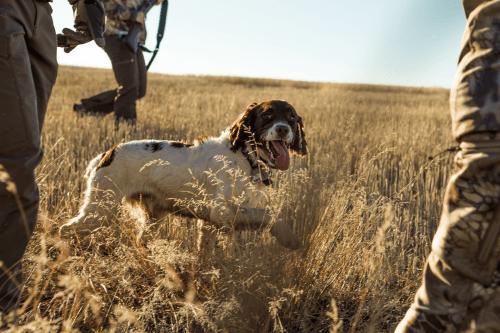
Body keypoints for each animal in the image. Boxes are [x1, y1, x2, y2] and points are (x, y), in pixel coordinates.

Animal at [60, 100, 306, 248]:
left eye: (292, 117)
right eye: (267, 115)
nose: (283, 129)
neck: (246, 158)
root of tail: (106, 153)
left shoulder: (209, 222)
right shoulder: (222, 212)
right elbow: (269, 214)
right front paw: (289, 238)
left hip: (151, 215)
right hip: (100, 210)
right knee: (65, 229)